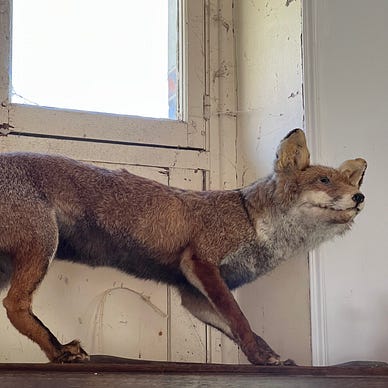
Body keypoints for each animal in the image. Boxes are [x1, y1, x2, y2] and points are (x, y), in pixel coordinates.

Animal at [0, 130, 366, 364]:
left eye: (348, 182)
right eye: (324, 181)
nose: (360, 196)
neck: (250, 220)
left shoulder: (192, 294)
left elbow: (238, 327)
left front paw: (263, 356)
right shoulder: (200, 262)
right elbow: (240, 318)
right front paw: (260, 355)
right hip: (44, 243)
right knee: (14, 306)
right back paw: (59, 350)